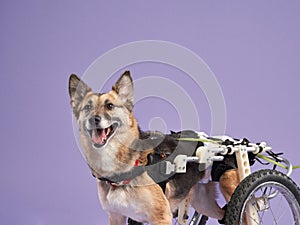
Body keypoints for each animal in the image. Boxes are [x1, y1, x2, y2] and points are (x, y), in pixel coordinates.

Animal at [68, 71, 239, 224]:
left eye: (110, 106)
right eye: (87, 108)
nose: (93, 119)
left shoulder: (162, 217)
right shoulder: (116, 216)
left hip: (228, 184)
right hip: (202, 202)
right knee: (222, 214)